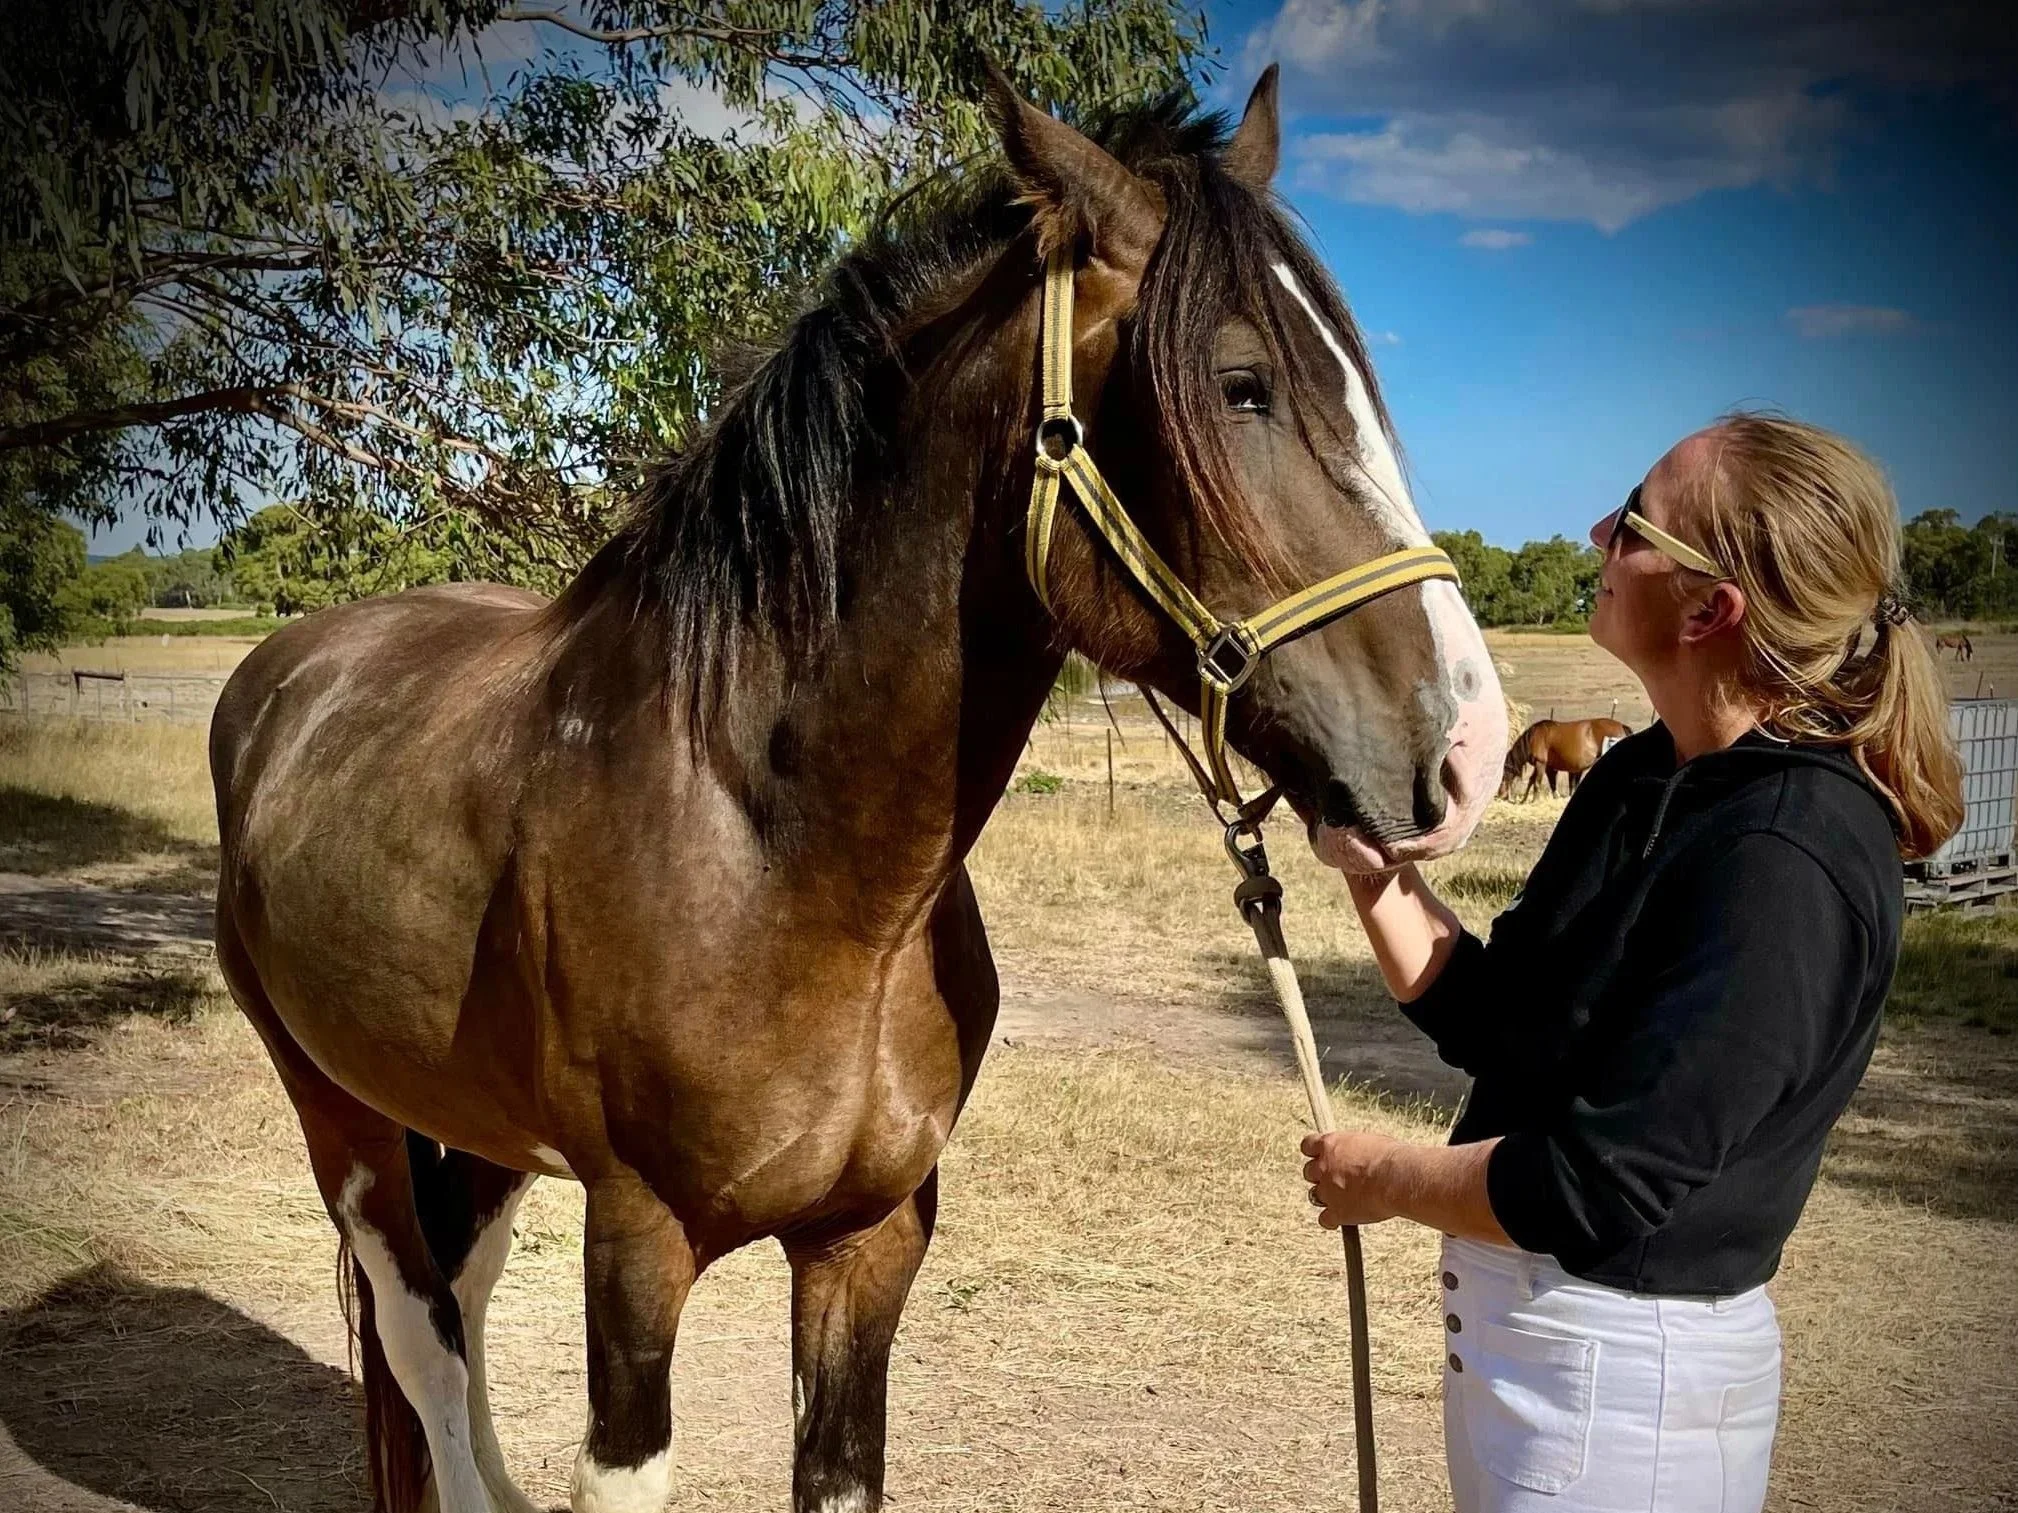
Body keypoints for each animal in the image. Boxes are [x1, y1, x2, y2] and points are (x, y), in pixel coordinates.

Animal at [209, 69, 1506, 1513]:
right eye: (1241, 387)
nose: (1465, 744)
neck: (779, 862)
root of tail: (287, 670)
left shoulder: (868, 1240)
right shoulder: (636, 1242)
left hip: (478, 1126)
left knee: (458, 1302)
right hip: (342, 1115)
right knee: (419, 1330)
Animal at [1500, 717, 1631, 801]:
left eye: (1503, 774)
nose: (1499, 794)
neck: (1533, 738)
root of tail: (1621, 726)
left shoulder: (1541, 763)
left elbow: (1537, 782)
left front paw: (1534, 800)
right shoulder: (1545, 766)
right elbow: (1537, 781)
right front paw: (1524, 800)